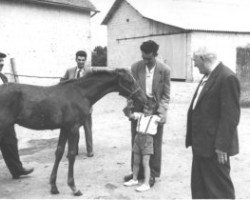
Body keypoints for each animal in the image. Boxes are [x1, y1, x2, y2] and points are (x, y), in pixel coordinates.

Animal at [0, 68, 146, 195]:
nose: (144, 98)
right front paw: (74, 187)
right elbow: (71, 155)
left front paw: (53, 186)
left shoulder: (65, 128)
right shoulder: (73, 128)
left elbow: (59, 153)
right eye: (129, 81)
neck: (80, 93)